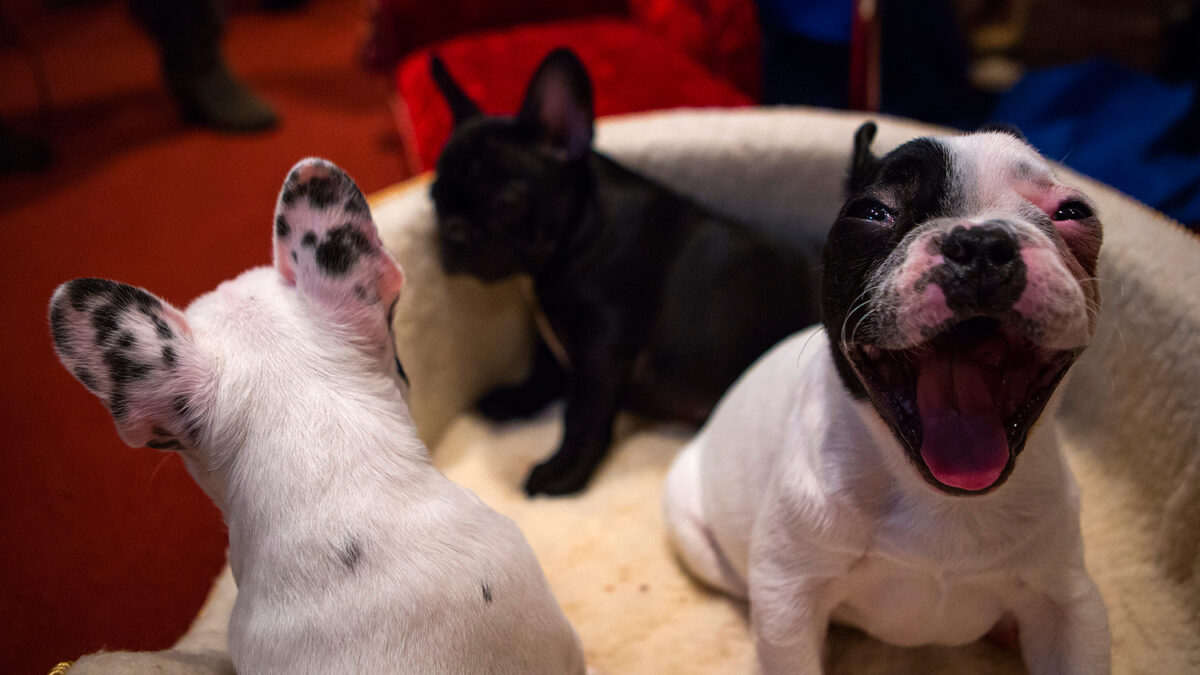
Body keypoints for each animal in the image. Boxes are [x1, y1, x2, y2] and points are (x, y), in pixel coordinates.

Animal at [427, 45, 820, 487]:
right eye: (436, 198)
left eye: (504, 202)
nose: (454, 233)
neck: (579, 232)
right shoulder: (557, 340)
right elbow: (543, 371)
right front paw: (515, 399)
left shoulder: (601, 351)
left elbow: (583, 416)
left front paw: (563, 472)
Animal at [662, 123, 1108, 667]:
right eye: (872, 212)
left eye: (1074, 212)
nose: (981, 241)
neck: (939, 500)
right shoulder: (788, 597)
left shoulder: (1069, 602)